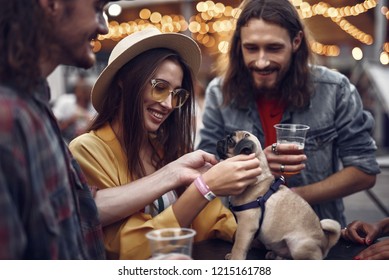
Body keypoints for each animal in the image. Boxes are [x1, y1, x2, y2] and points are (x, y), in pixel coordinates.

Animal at [217, 131, 342, 260]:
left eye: (230, 141)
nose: (220, 140)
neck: (256, 181)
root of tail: (325, 243)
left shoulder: (246, 226)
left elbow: (238, 245)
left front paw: (234, 257)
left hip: (297, 246)